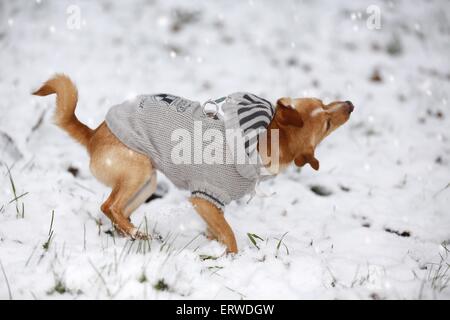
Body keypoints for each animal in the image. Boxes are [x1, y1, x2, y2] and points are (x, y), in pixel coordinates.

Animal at [33, 74, 354, 252]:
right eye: (327, 123)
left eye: (323, 102)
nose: (350, 104)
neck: (263, 138)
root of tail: (91, 135)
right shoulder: (204, 198)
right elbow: (230, 235)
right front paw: (231, 257)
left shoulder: (211, 207)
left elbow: (218, 230)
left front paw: (213, 246)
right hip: (138, 168)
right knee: (108, 206)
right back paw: (136, 233)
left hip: (147, 182)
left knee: (117, 211)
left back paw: (134, 234)